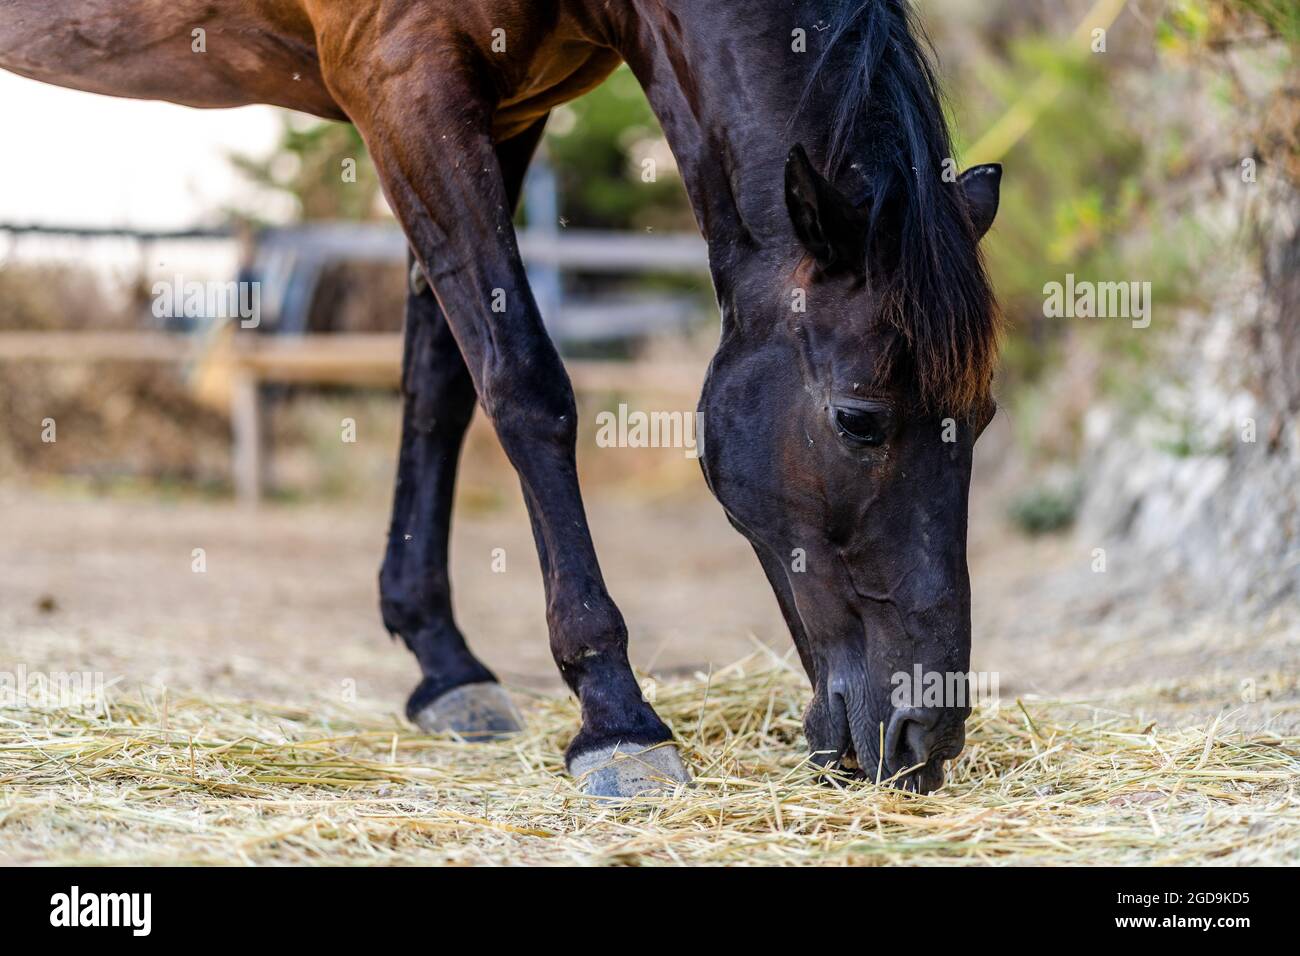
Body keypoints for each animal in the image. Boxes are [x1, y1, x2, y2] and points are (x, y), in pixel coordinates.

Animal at [0, 0, 1002, 796]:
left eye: (984, 417)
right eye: (859, 420)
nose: (927, 735)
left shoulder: (505, 110)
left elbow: (443, 379)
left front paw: (442, 661)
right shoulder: (405, 80)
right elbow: (524, 383)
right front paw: (615, 715)